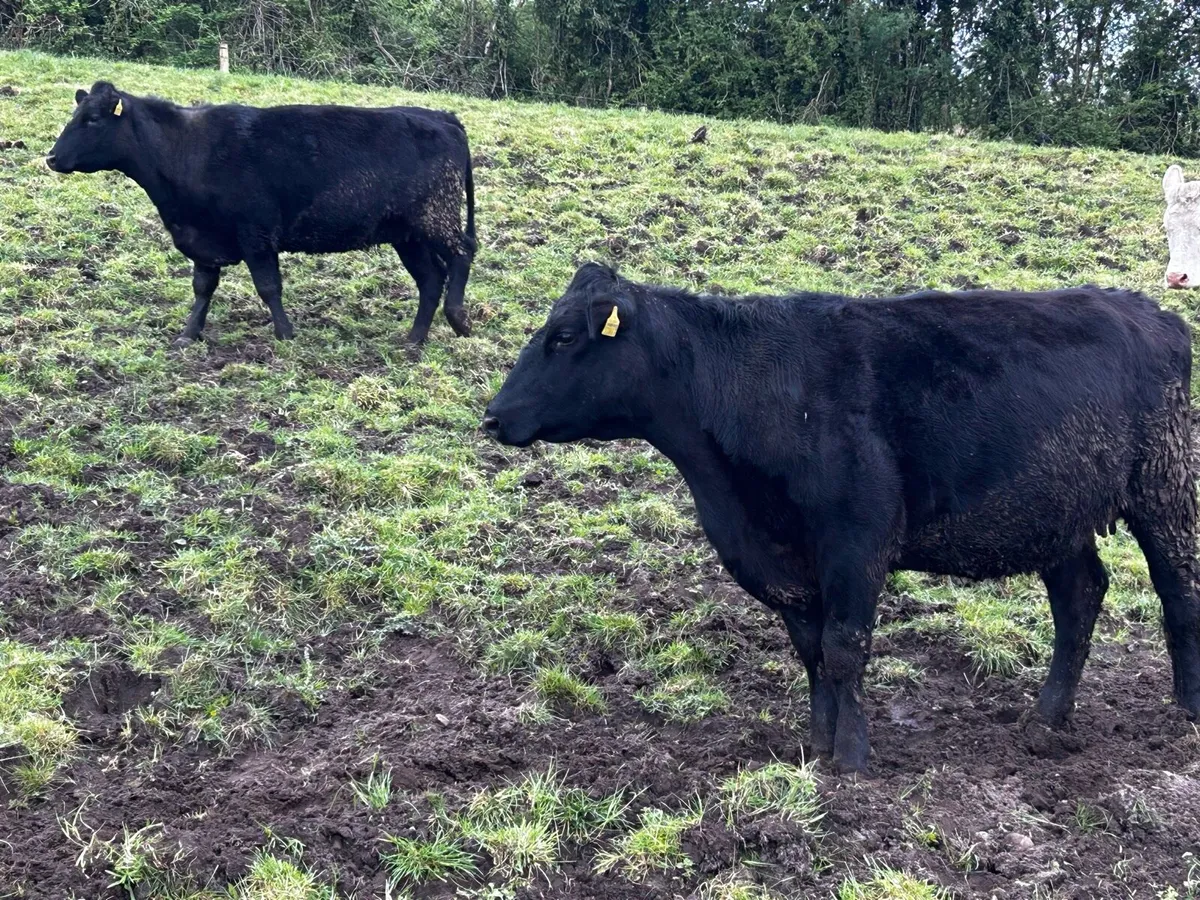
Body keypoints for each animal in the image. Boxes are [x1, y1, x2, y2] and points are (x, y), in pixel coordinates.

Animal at [46, 81, 476, 346]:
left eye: (92, 119)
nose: (51, 157)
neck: (189, 149)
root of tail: (442, 116)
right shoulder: (202, 239)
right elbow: (202, 288)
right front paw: (189, 333)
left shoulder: (256, 234)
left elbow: (268, 286)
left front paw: (285, 333)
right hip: (407, 233)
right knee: (430, 278)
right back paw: (414, 338)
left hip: (437, 217)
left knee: (462, 254)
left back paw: (457, 318)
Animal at [482, 263, 1200, 774]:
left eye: (564, 337)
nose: (492, 416)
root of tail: (1151, 312)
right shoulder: (782, 559)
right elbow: (811, 651)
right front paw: (816, 743)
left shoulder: (856, 541)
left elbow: (845, 646)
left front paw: (851, 759)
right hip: (1057, 511)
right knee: (1080, 596)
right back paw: (1046, 719)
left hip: (1164, 487)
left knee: (1179, 591)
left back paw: (1185, 716)